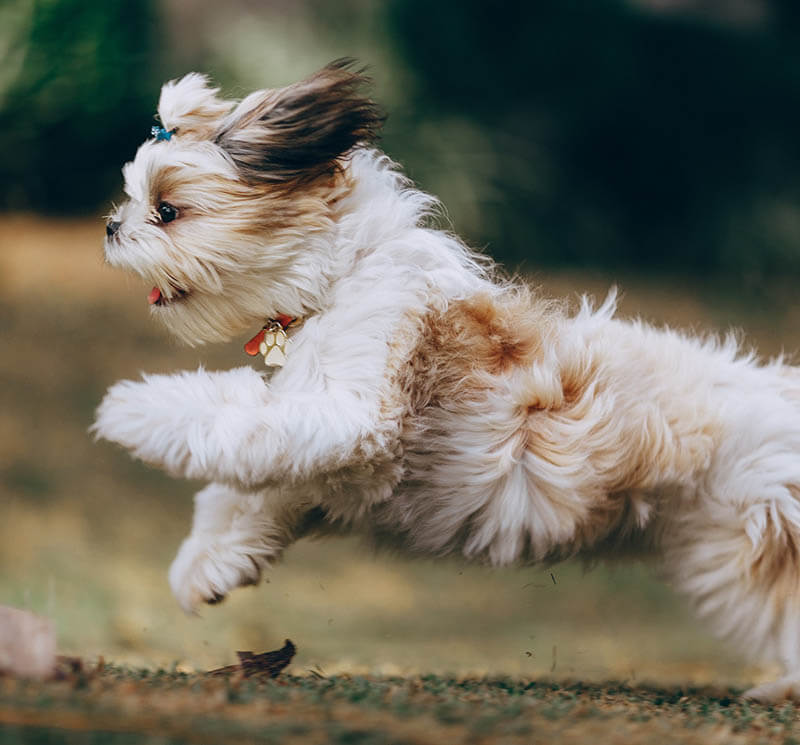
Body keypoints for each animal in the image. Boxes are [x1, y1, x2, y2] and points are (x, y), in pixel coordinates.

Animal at [97, 61, 800, 700]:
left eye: (167, 210)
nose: (111, 226)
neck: (345, 275)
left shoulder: (353, 413)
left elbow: (230, 415)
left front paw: (132, 410)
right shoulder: (325, 461)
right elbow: (242, 490)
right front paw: (205, 567)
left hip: (758, 544)